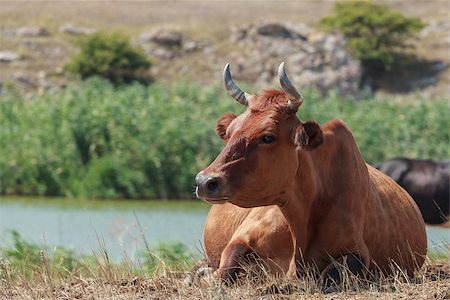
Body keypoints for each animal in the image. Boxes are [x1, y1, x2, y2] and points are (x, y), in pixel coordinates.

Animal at [197, 63, 426, 284]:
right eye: (229, 133)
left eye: (268, 137)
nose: (205, 181)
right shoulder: (241, 237)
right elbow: (225, 270)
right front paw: (206, 274)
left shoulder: (358, 252)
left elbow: (331, 274)